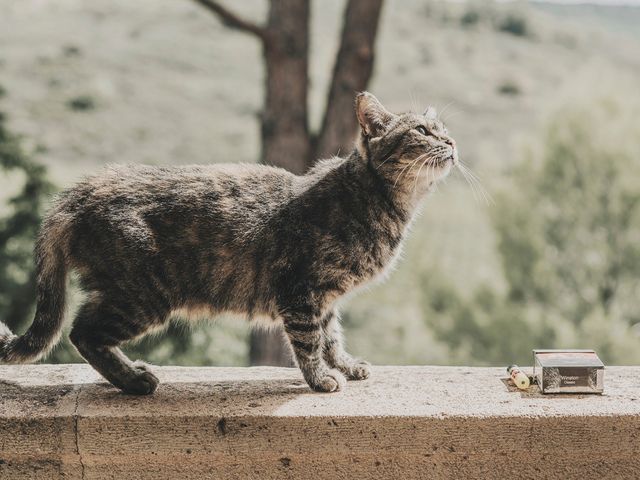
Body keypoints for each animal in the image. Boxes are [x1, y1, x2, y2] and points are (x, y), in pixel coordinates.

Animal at [0, 92, 456, 396]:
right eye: (422, 130)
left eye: (444, 129)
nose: (452, 142)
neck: (381, 201)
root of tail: (80, 192)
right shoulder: (300, 289)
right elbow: (309, 342)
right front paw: (320, 378)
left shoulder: (325, 296)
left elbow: (331, 335)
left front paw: (344, 364)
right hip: (142, 296)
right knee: (83, 332)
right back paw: (134, 380)